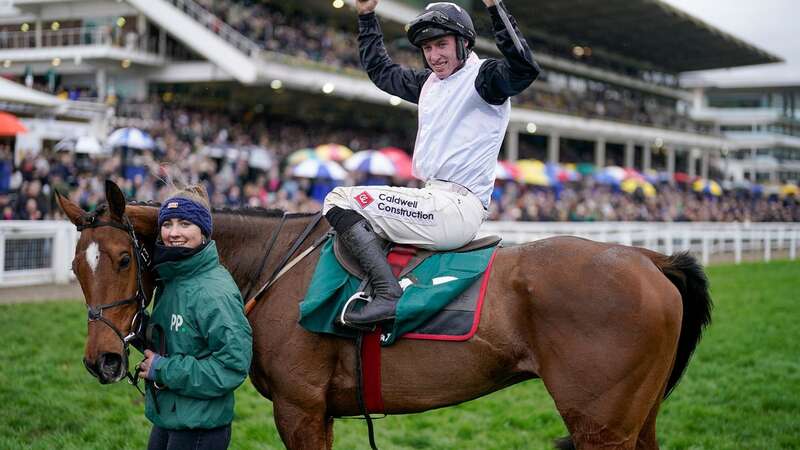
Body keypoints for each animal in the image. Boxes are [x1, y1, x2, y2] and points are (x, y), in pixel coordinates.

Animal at [61, 180, 712, 450]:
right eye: (75, 265)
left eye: (124, 258)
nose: (102, 360)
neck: (275, 264)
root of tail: (650, 259)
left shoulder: (300, 411)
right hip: (636, 418)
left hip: (601, 426)